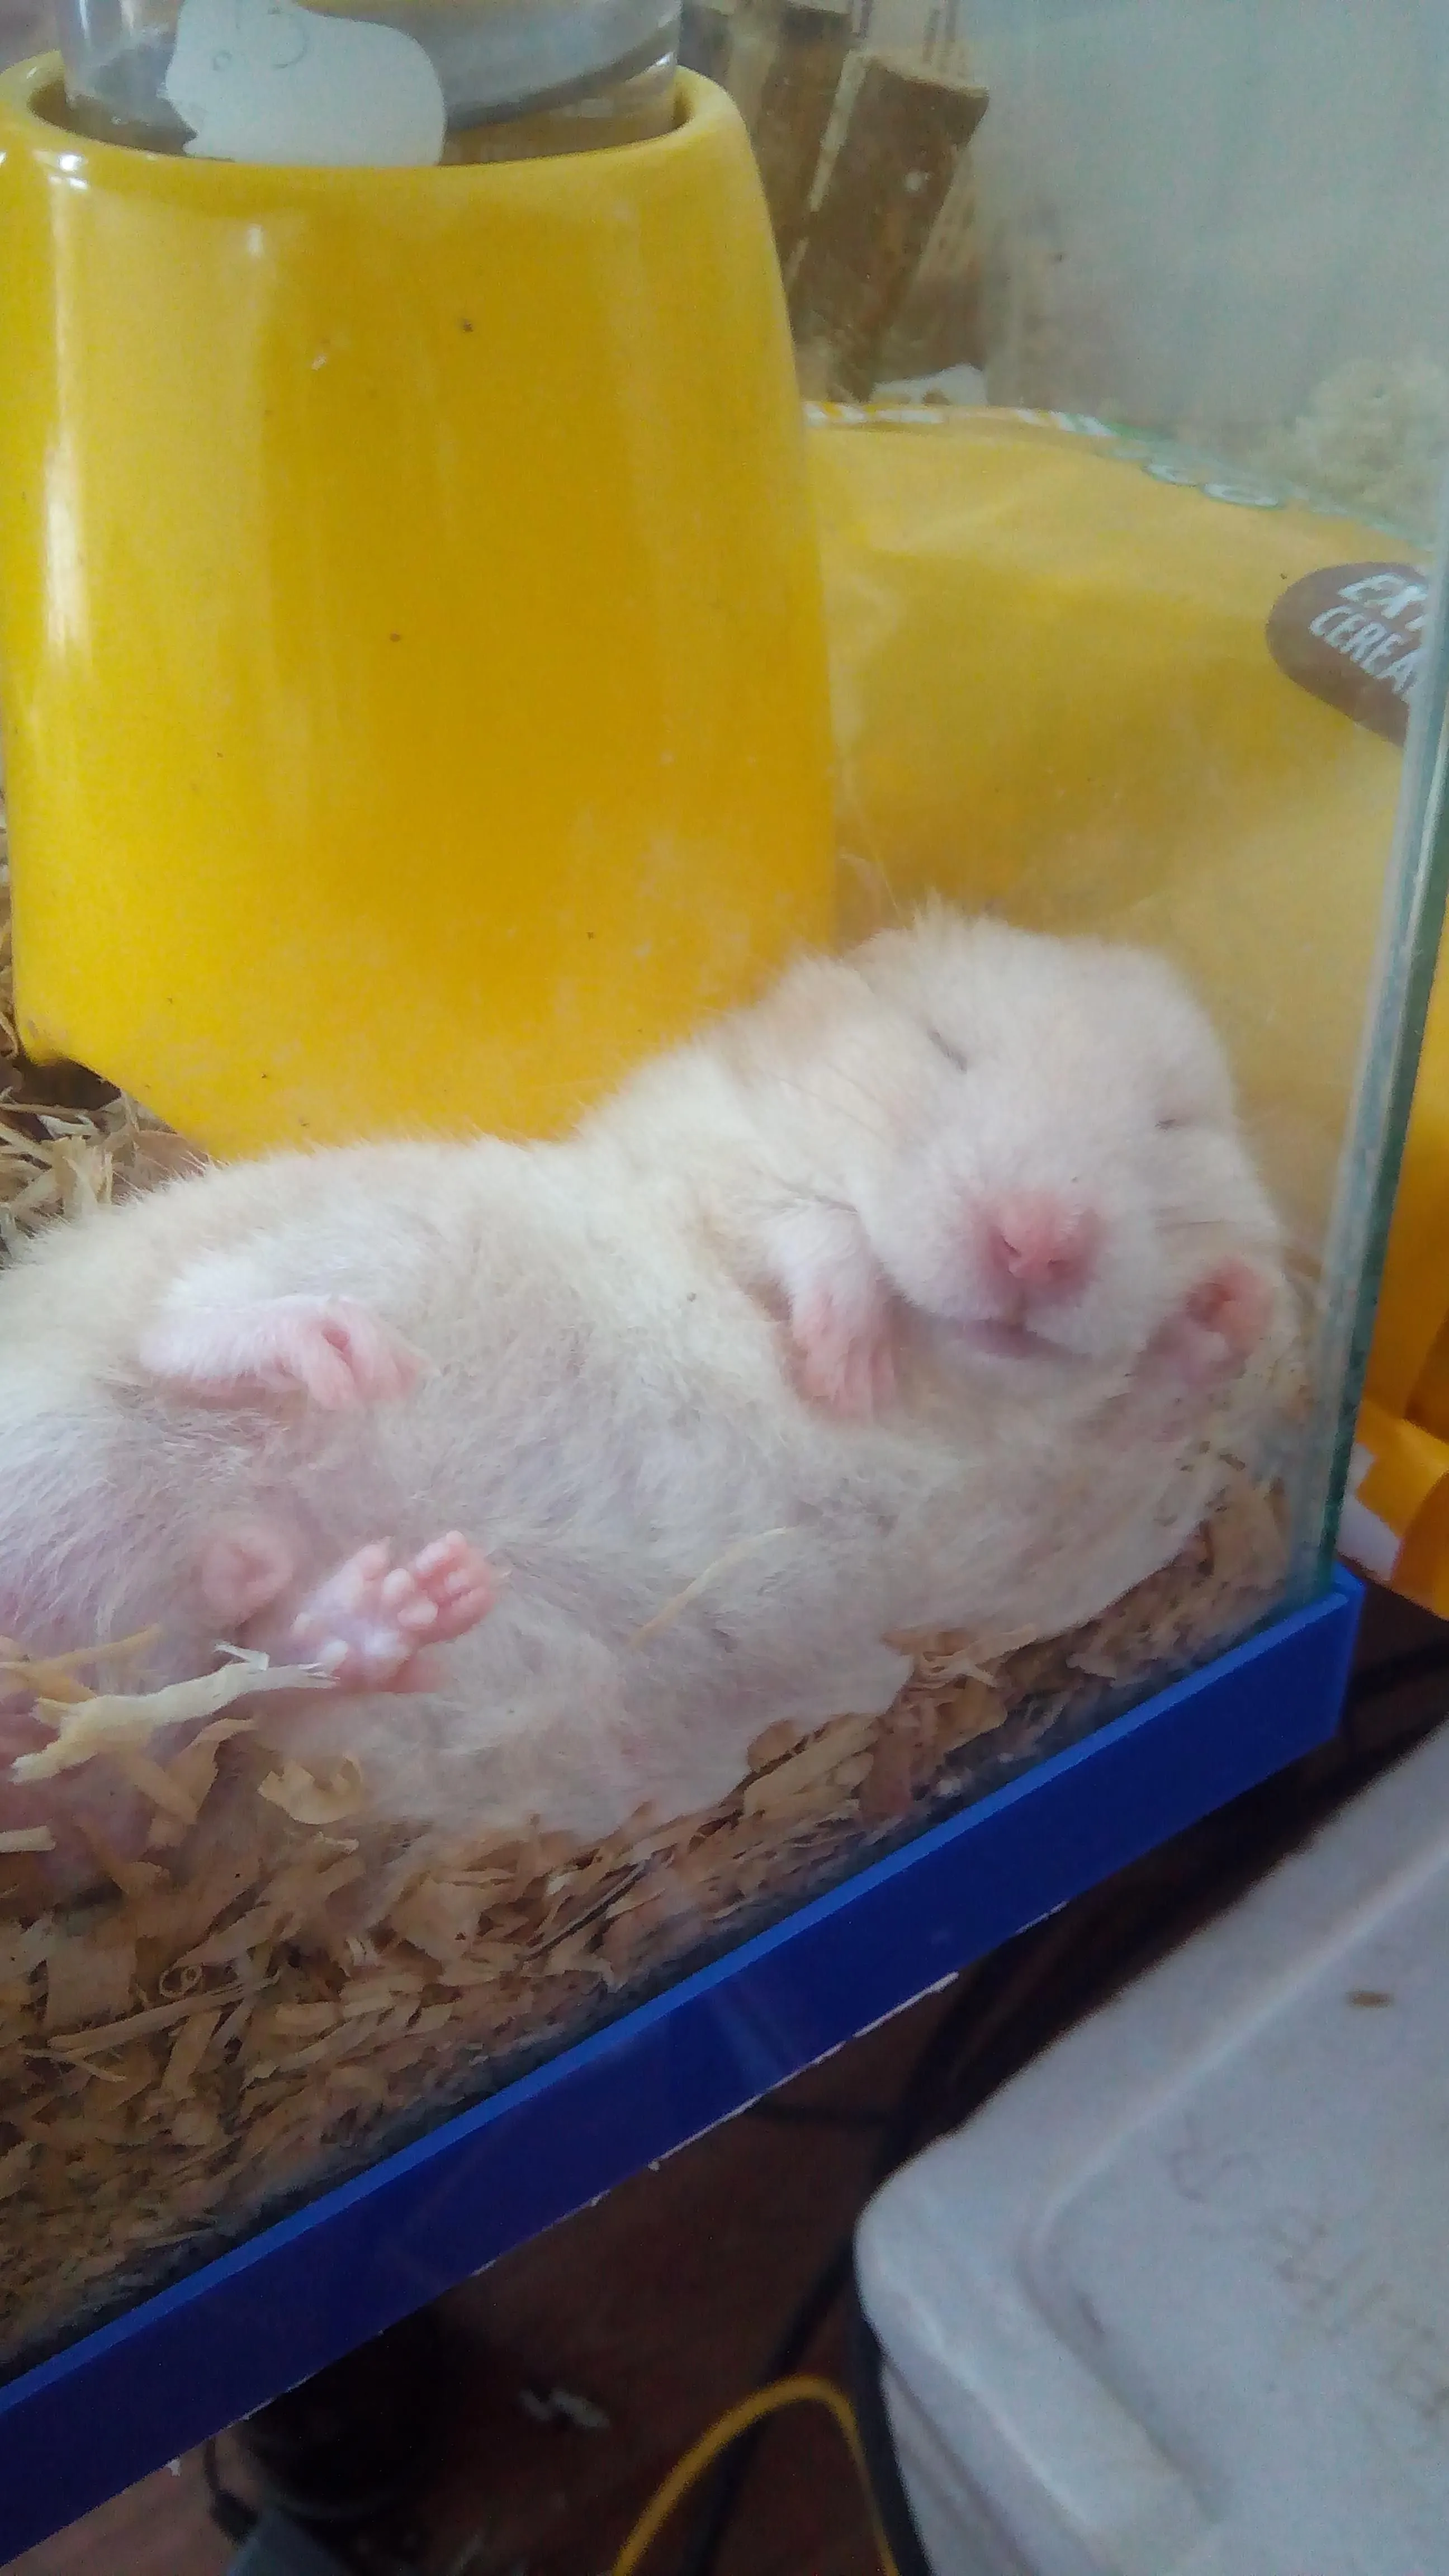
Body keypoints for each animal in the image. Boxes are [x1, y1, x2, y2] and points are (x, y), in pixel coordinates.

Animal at [0, 908, 1293, 1877]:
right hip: (354, 1242)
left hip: (304, 1734)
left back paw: (379, 1602)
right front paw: (843, 1364)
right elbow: (806, 1228)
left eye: (1174, 1124)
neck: (952, 1394)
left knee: (248, 1698)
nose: (1039, 1243)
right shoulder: (699, 1157)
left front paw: (1231, 1305)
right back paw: (334, 1351)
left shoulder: (1046, 1544)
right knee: (178, 1320)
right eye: (945, 1047)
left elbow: (1140, 1417)